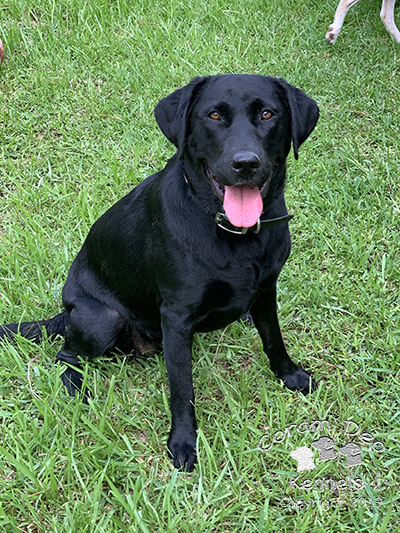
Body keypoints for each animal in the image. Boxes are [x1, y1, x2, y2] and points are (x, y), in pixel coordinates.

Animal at [0, 75, 318, 470]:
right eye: (214, 115)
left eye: (267, 114)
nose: (245, 163)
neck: (232, 233)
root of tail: (66, 311)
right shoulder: (177, 317)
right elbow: (182, 388)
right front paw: (182, 442)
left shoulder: (265, 291)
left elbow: (273, 338)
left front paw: (289, 375)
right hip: (100, 318)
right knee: (67, 355)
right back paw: (76, 388)